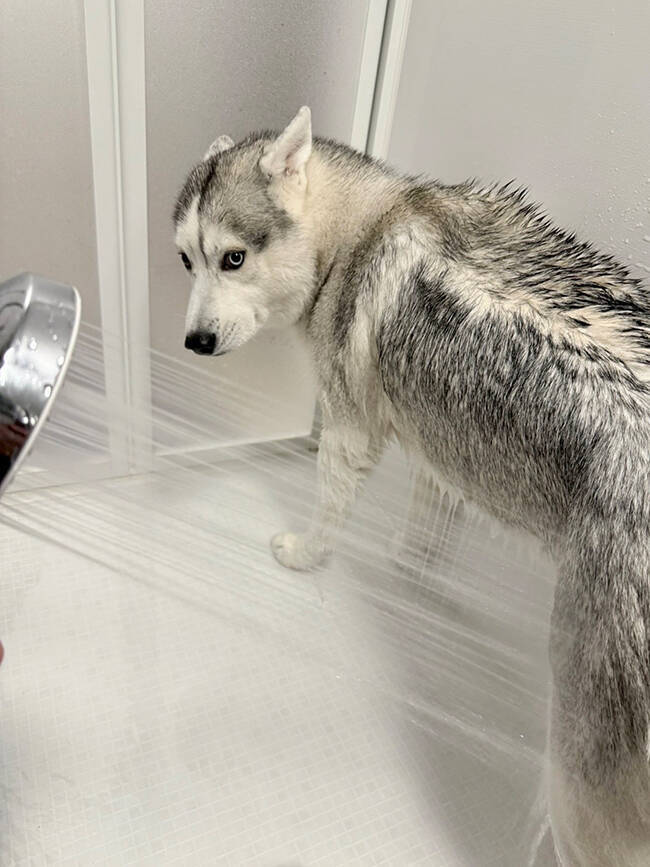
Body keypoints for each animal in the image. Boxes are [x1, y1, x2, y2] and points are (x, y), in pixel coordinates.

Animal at [174, 107, 650, 865]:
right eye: (187, 261)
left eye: (234, 259)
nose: (193, 343)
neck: (357, 232)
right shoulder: (437, 449)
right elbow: (426, 537)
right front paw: (413, 576)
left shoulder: (349, 431)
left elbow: (328, 510)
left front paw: (305, 553)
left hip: (583, 780)